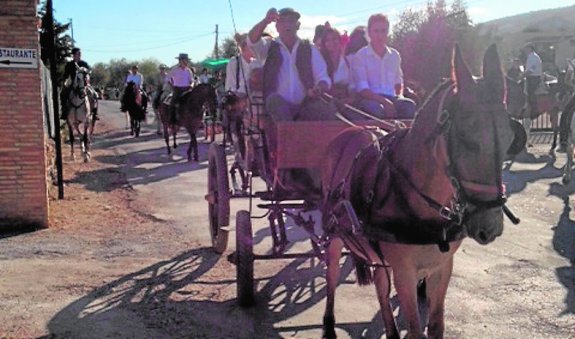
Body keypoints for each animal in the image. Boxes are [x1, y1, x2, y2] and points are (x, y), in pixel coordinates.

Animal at [206, 44, 520, 338]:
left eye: (509, 138)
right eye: (466, 140)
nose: (490, 226)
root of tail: (347, 131)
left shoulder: (442, 268)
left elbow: (435, 325)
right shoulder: (404, 271)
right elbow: (415, 329)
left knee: (380, 284)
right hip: (334, 232)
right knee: (331, 274)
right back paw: (328, 324)